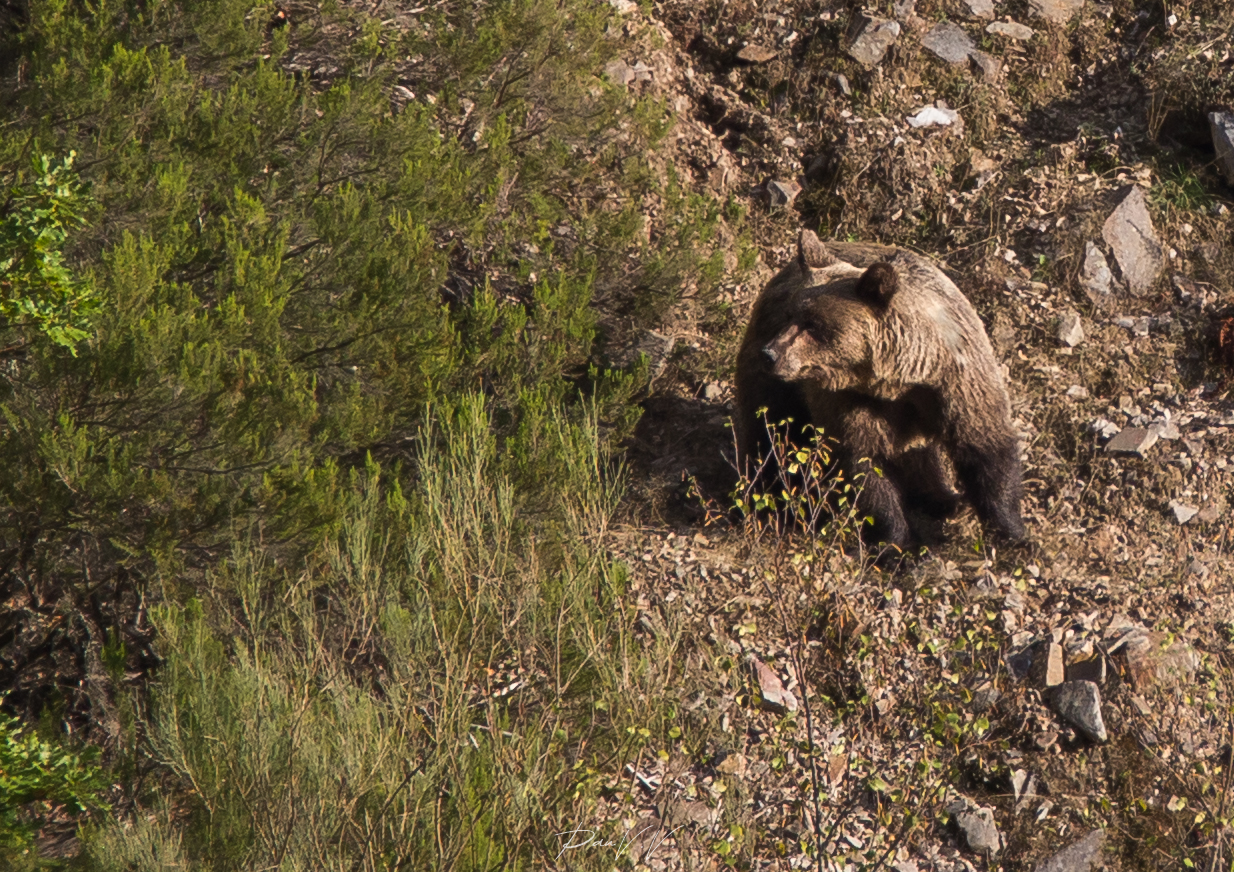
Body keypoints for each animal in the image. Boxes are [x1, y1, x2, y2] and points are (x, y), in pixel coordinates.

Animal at [730, 228, 1021, 550]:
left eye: (813, 324)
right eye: (790, 315)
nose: (771, 354)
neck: (899, 379)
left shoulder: (957, 382)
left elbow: (986, 445)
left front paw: (1012, 532)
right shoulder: (850, 401)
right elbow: (864, 465)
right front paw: (897, 542)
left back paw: (943, 498)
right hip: (774, 380)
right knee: (767, 430)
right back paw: (762, 499)